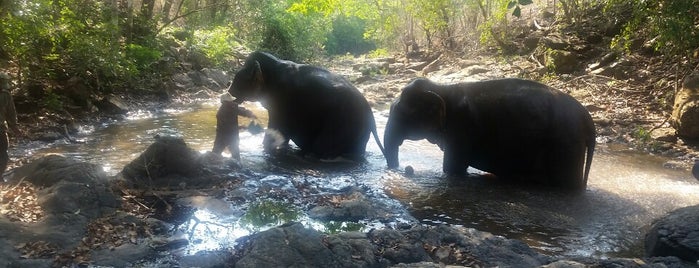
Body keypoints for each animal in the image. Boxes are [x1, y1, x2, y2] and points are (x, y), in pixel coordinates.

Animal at [230, 51, 386, 161]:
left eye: (242, 76)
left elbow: (277, 127)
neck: (275, 64)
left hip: (343, 123)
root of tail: (371, 117)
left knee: (321, 147)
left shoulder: (282, 102)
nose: (229, 91)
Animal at [382, 77, 596, 191]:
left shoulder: (462, 128)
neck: (442, 88)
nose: (405, 169)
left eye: (400, 114)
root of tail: (589, 121)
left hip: (566, 144)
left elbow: (452, 169)